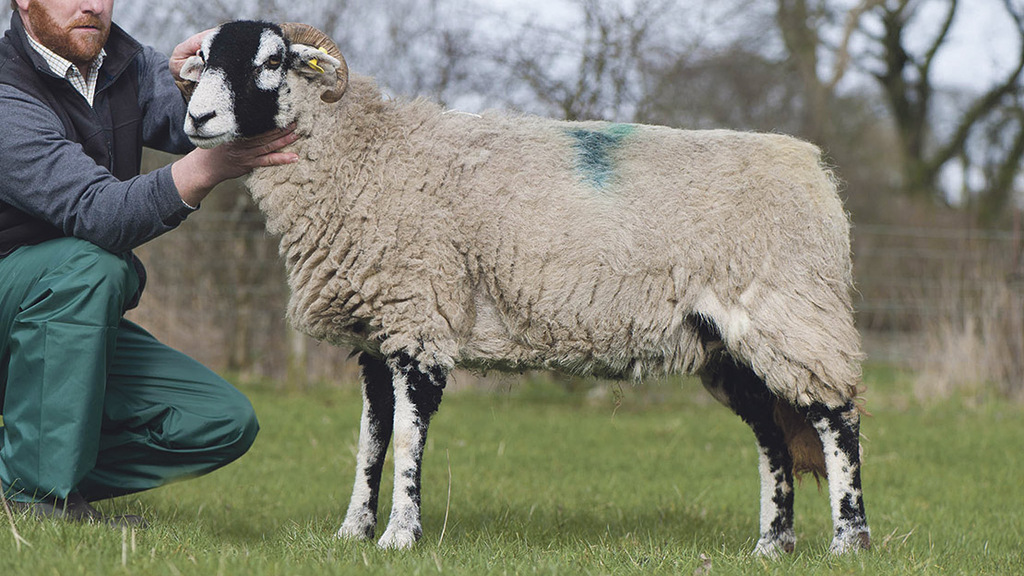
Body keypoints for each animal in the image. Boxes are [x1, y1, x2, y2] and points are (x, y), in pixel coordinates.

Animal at [180, 20, 868, 553]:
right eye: (205, 60)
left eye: (272, 61)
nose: (197, 118)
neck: (367, 154)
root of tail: (815, 171)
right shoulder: (376, 331)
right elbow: (370, 439)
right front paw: (353, 533)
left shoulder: (417, 316)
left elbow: (407, 433)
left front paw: (400, 536)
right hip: (731, 347)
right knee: (774, 437)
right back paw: (771, 546)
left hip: (793, 313)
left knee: (837, 418)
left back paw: (848, 540)